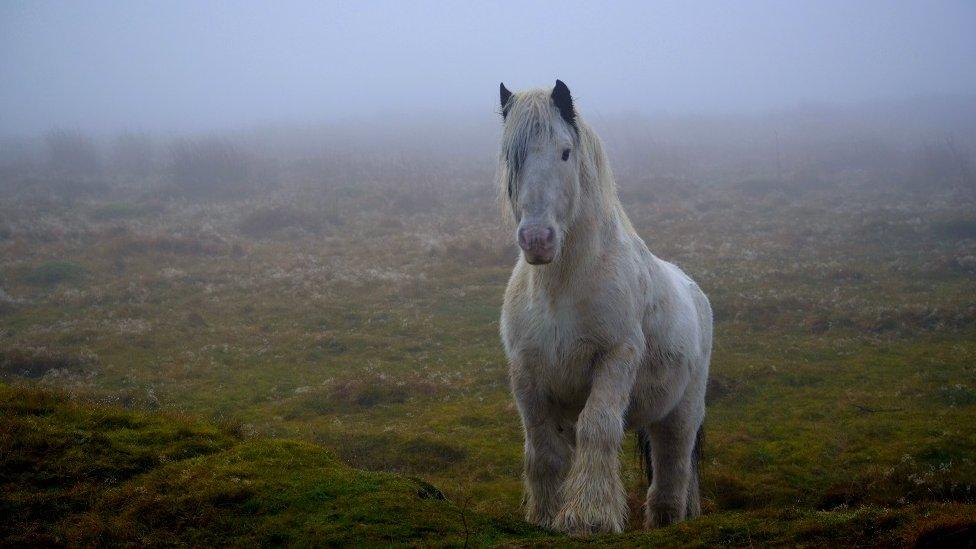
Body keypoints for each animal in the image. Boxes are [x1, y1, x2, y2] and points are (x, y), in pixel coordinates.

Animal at [500, 79, 712, 532]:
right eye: (513, 155)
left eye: (565, 152)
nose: (537, 240)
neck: (563, 286)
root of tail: (693, 291)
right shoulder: (526, 371)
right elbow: (542, 449)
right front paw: (545, 516)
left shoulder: (615, 358)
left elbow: (597, 428)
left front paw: (589, 515)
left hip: (680, 416)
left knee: (672, 473)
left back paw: (668, 521)